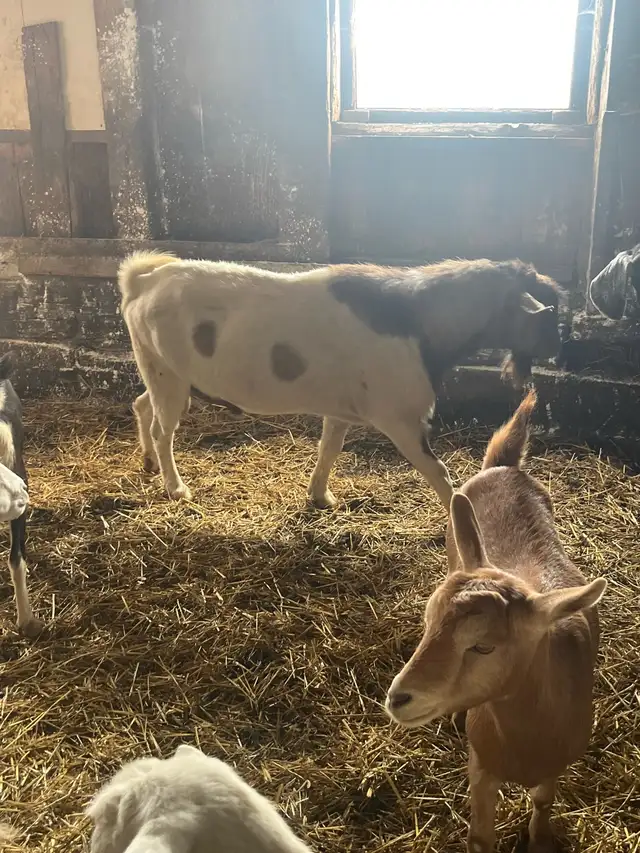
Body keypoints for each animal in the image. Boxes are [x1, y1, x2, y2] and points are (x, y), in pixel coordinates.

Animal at [118, 252, 561, 511]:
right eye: (545, 316)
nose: (559, 345)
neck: (420, 322)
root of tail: (142, 280)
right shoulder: (400, 417)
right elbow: (439, 473)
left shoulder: (341, 409)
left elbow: (329, 448)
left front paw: (321, 496)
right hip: (169, 374)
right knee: (163, 429)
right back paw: (175, 488)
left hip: (156, 368)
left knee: (141, 405)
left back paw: (147, 463)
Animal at [385, 389, 606, 852]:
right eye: (428, 623)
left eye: (483, 646)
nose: (398, 698)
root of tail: (504, 466)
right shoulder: (481, 767)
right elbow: (481, 835)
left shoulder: (554, 766)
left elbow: (543, 802)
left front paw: (540, 839)